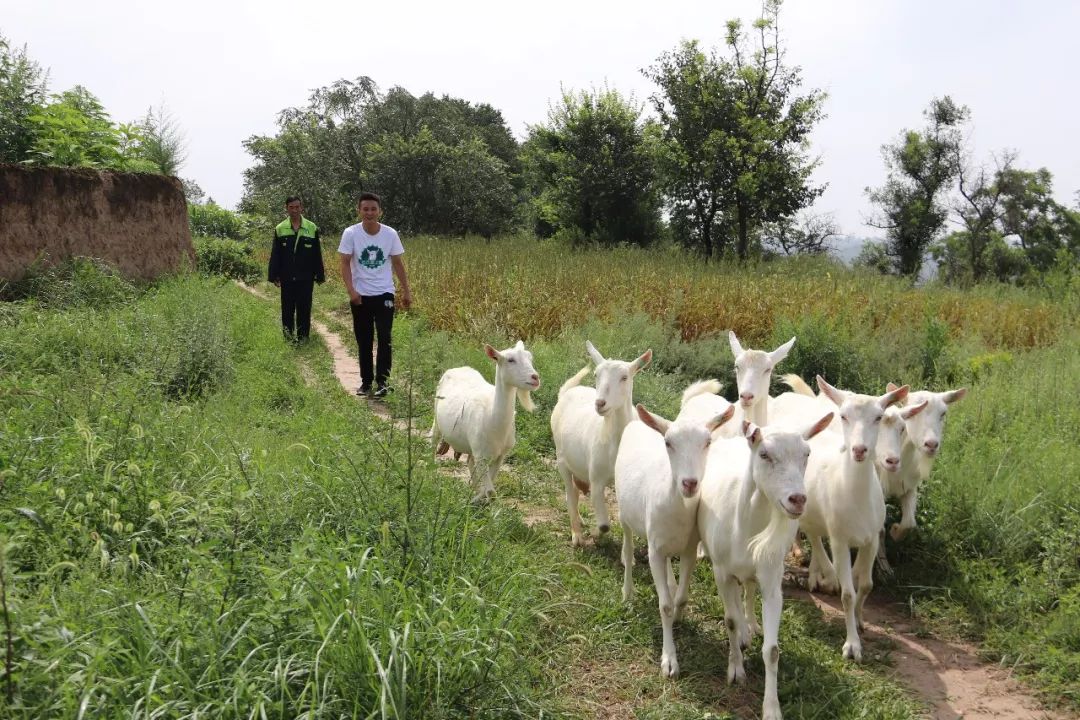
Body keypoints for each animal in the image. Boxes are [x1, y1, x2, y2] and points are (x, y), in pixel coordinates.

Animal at [429, 343, 540, 500]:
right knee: (433, 440)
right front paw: (477, 498)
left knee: (469, 461)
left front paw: (477, 496)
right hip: (437, 419)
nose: (535, 377)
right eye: (510, 360)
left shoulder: (500, 455)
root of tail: (458, 368)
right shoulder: (481, 455)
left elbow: (490, 488)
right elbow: (491, 492)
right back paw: (430, 471)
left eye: (530, 358)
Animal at [552, 343, 652, 546]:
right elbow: (605, 524)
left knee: (575, 491)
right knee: (570, 494)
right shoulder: (596, 480)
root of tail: (566, 392)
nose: (600, 403)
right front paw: (595, 533)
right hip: (561, 459)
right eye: (596, 374)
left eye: (624, 377)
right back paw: (577, 535)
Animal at [617, 405, 734, 682]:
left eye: (708, 442)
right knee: (628, 546)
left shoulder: (690, 547)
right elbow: (665, 606)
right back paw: (627, 593)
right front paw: (669, 660)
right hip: (623, 511)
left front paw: (680, 617)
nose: (689, 483)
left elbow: (680, 599)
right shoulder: (654, 551)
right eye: (668, 443)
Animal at [699, 414, 833, 716]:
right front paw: (735, 670)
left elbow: (772, 650)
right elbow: (729, 620)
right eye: (765, 454)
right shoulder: (721, 572)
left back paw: (751, 626)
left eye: (807, 454)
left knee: (748, 589)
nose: (798, 499)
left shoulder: (772, 577)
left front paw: (772, 708)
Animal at [790, 379, 907, 660]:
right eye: (843, 416)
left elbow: (865, 585)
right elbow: (847, 594)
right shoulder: (840, 538)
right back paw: (822, 575)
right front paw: (852, 645)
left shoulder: (872, 538)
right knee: (814, 538)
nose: (859, 449)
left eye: (878, 417)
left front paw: (860, 620)